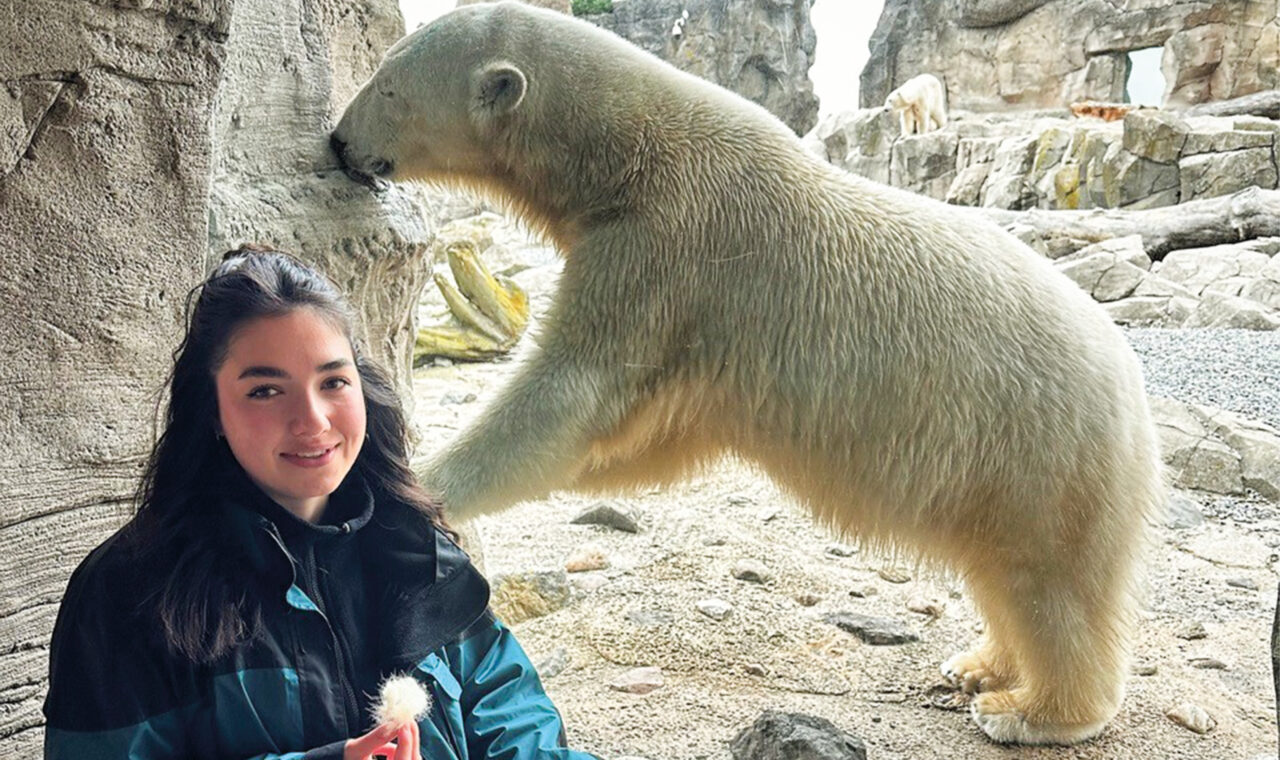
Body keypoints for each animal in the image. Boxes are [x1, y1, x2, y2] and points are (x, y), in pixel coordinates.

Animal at [330, 1, 1162, 747]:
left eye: (388, 85)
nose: (338, 141)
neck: (625, 150)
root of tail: (1135, 397)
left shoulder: (668, 245)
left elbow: (571, 395)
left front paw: (422, 484)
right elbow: (646, 434)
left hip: (1039, 452)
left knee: (1046, 587)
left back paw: (1028, 711)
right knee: (999, 576)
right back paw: (977, 665)